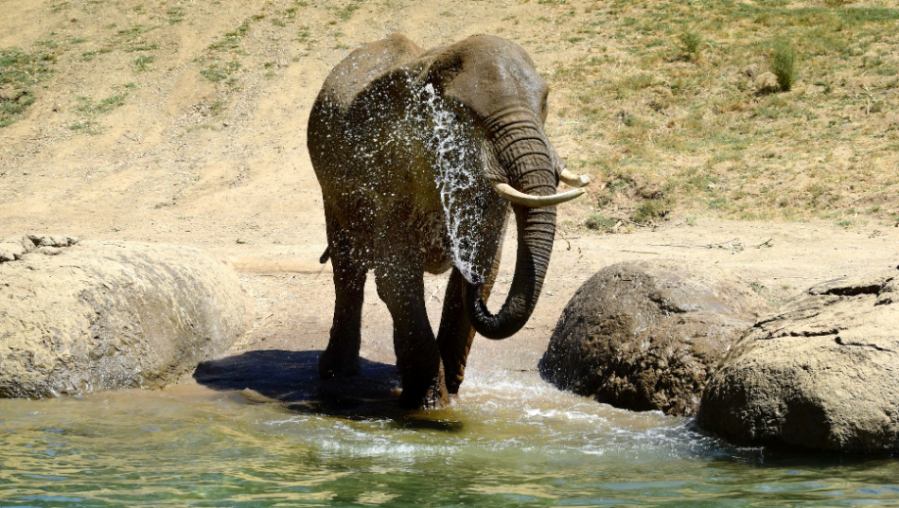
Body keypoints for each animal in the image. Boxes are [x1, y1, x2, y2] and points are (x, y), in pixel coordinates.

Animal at [310, 33, 592, 408]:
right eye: (463, 115)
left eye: (544, 102)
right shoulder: (386, 171)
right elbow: (396, 277)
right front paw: (430, 405)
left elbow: (485, 266)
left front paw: (449, 393)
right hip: (330, 184)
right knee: (347, 266)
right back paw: (336, 373)